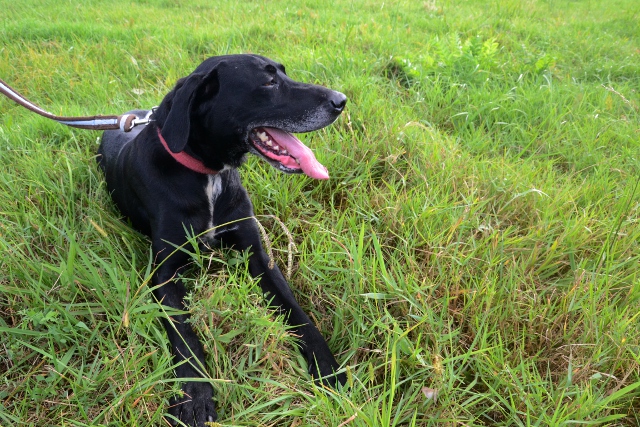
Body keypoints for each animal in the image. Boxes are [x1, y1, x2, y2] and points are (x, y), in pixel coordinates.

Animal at [96, 55, 344, 426]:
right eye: (268, 82)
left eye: (283, 72)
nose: (342, 101)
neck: (208, 174)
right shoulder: (164, 273)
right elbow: (184, 335)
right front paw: (195, 395)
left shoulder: (258, 255)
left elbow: (296, 312)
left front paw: (327, 367)